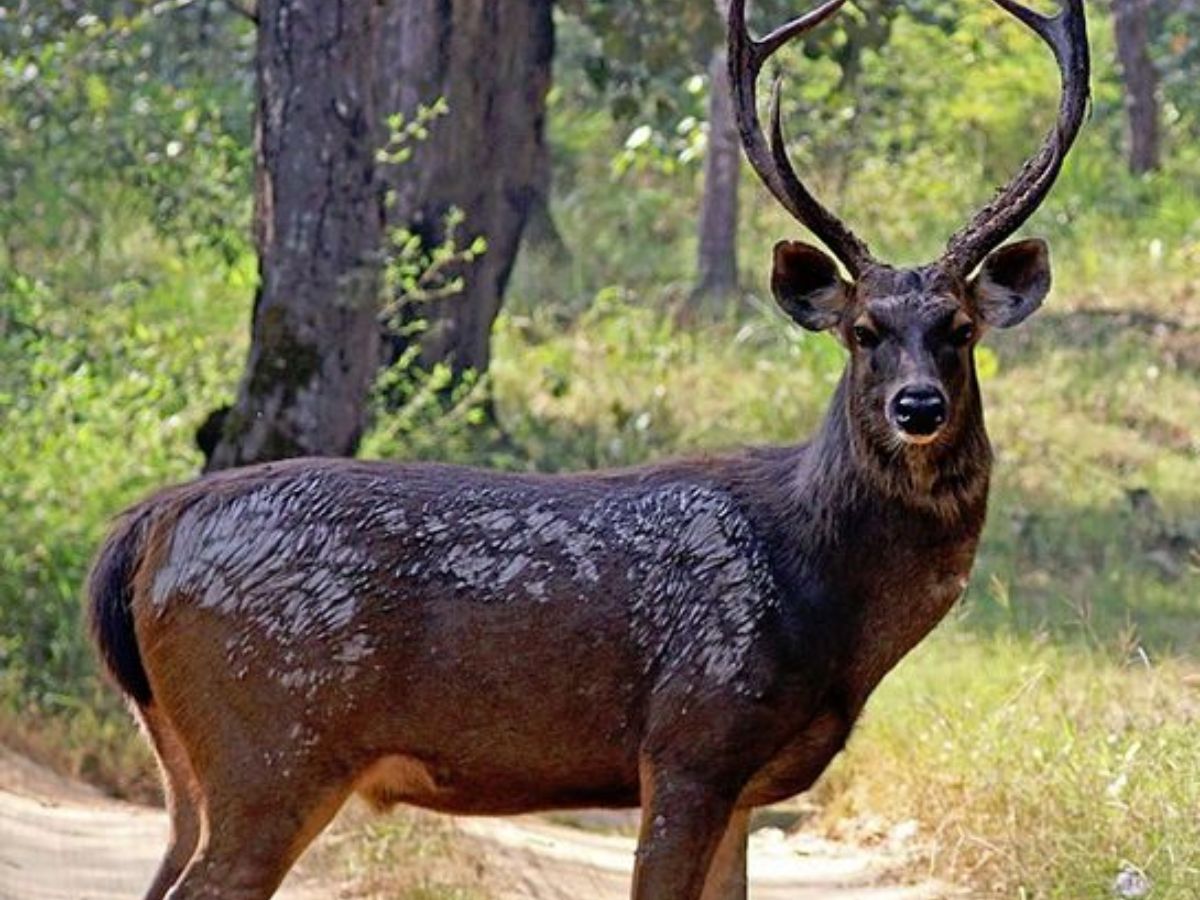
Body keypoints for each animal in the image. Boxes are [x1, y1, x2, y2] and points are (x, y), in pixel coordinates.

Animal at [87, 2, 1089, 897]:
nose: (917, 406)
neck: (828, 607)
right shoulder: (692, 739)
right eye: (863, 331)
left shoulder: (743, 788)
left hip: (189, 760)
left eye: (959, 330)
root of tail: (145, 529)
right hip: (274, 741)